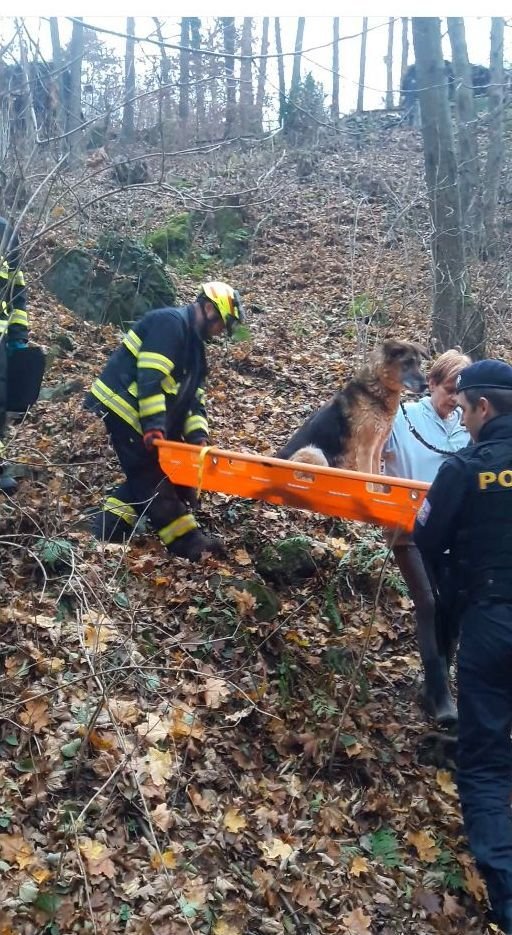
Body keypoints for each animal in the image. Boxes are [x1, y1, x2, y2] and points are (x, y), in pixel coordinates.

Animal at [276, 338, 428, 476]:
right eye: (407, 363)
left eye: (419, 364)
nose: (426, 385)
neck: (376, 390)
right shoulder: (365, 451)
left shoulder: (376, 450)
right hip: (314, 452)